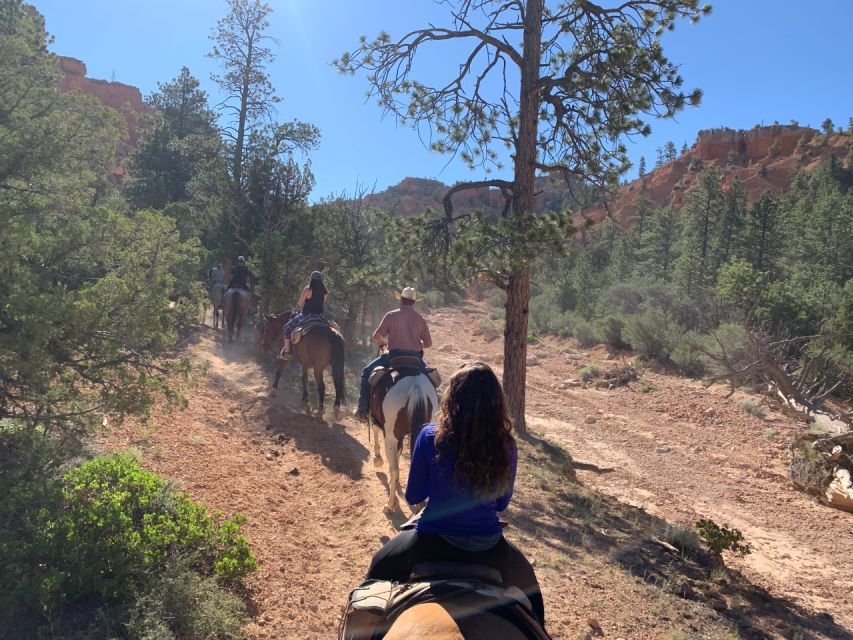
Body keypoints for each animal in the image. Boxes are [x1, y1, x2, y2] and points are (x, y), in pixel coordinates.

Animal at [368, 368, 436, 512]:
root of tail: (415, 386)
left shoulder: (378, 423)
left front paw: (378, 460)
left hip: (390, 438)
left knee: (394, 469)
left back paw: (389, 505)